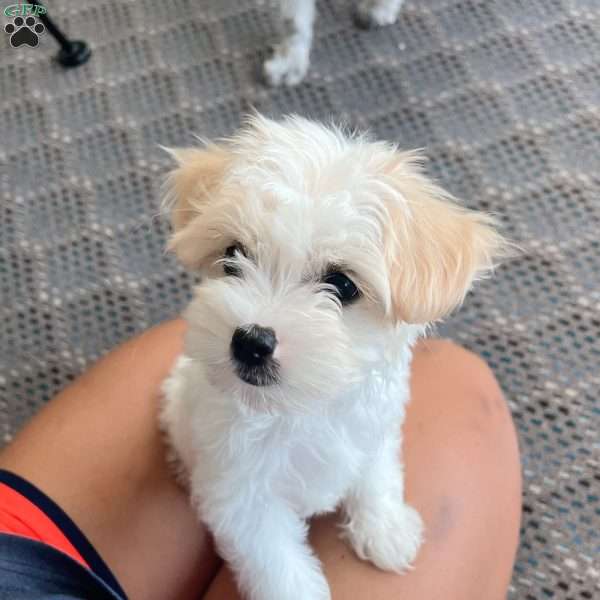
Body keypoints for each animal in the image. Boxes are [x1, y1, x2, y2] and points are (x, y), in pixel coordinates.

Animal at [161, 113, 510, 600]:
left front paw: (385, 527)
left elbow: (378, 475)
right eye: (233, 256)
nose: (250, 340)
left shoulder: (376, 429)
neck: (304, 407)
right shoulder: (242, 497)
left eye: (343, 285)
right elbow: (277, 564)